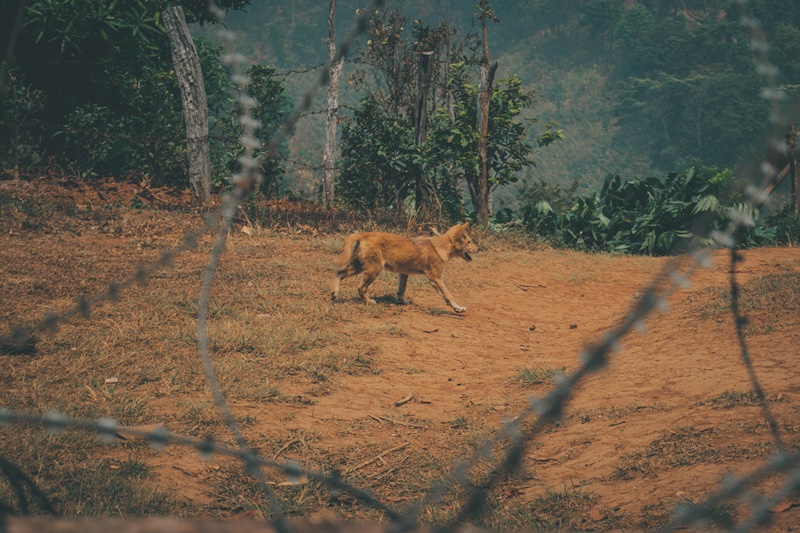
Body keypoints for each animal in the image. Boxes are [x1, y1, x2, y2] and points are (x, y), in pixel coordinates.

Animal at [330, 221, 478, 312]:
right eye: (469, 242)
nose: (479, 249)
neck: (441, 247)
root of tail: (365, 234)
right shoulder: (436, 278)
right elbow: (448, 294)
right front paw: (457, 307)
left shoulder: (408, 274)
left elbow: (402, 290)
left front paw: (456, 308)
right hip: (374, 270)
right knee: (360, 287)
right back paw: (369, 301)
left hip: (359, 267)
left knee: (338, 273)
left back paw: (334, 294)